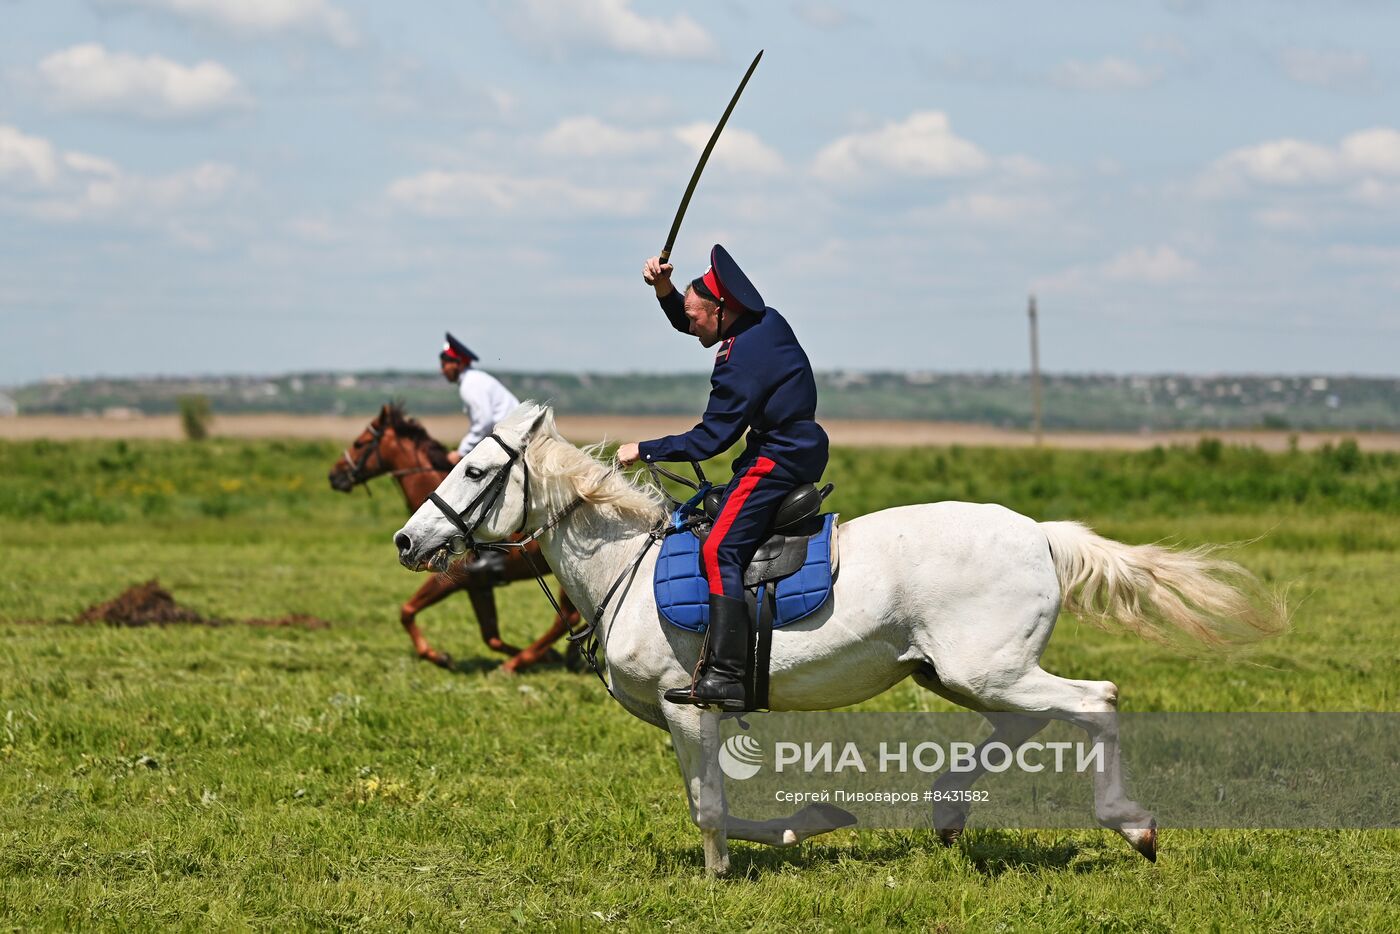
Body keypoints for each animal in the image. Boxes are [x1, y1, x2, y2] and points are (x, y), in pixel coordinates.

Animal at [329, 403, 579, 672]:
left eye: (359, 443)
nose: (334, 476)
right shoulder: (478, 585)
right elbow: (491, 636)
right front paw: (549, 656)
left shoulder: (451, 579)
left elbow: (406, 611)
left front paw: (438, 656)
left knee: (568, 617)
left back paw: (516, 664)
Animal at [389, 403, 1282, 879]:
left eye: (475, 474)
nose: (405, 541)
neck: (626, 567)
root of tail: (1039, 532)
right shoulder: (691, 719)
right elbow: (718, 803)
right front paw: (811, 822)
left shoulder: (689, 707)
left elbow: (708, 806)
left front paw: (722, 873)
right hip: (964, 674)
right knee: (1028, 719)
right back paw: (948, 813)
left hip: (984, 669)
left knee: (1096, 701)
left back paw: (1132, 826)